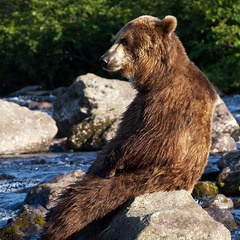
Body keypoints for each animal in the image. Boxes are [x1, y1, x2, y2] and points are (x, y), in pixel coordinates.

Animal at [41, 15, 218, 239]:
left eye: (124, 40)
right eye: (117, 38)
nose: (103, 60)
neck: (157, 77)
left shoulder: (171, 102)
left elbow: (157, 141)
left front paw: (112, 161)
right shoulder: (139, 103)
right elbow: (121, 135)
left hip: (148, 179)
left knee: (87, 199)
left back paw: (59, 224)